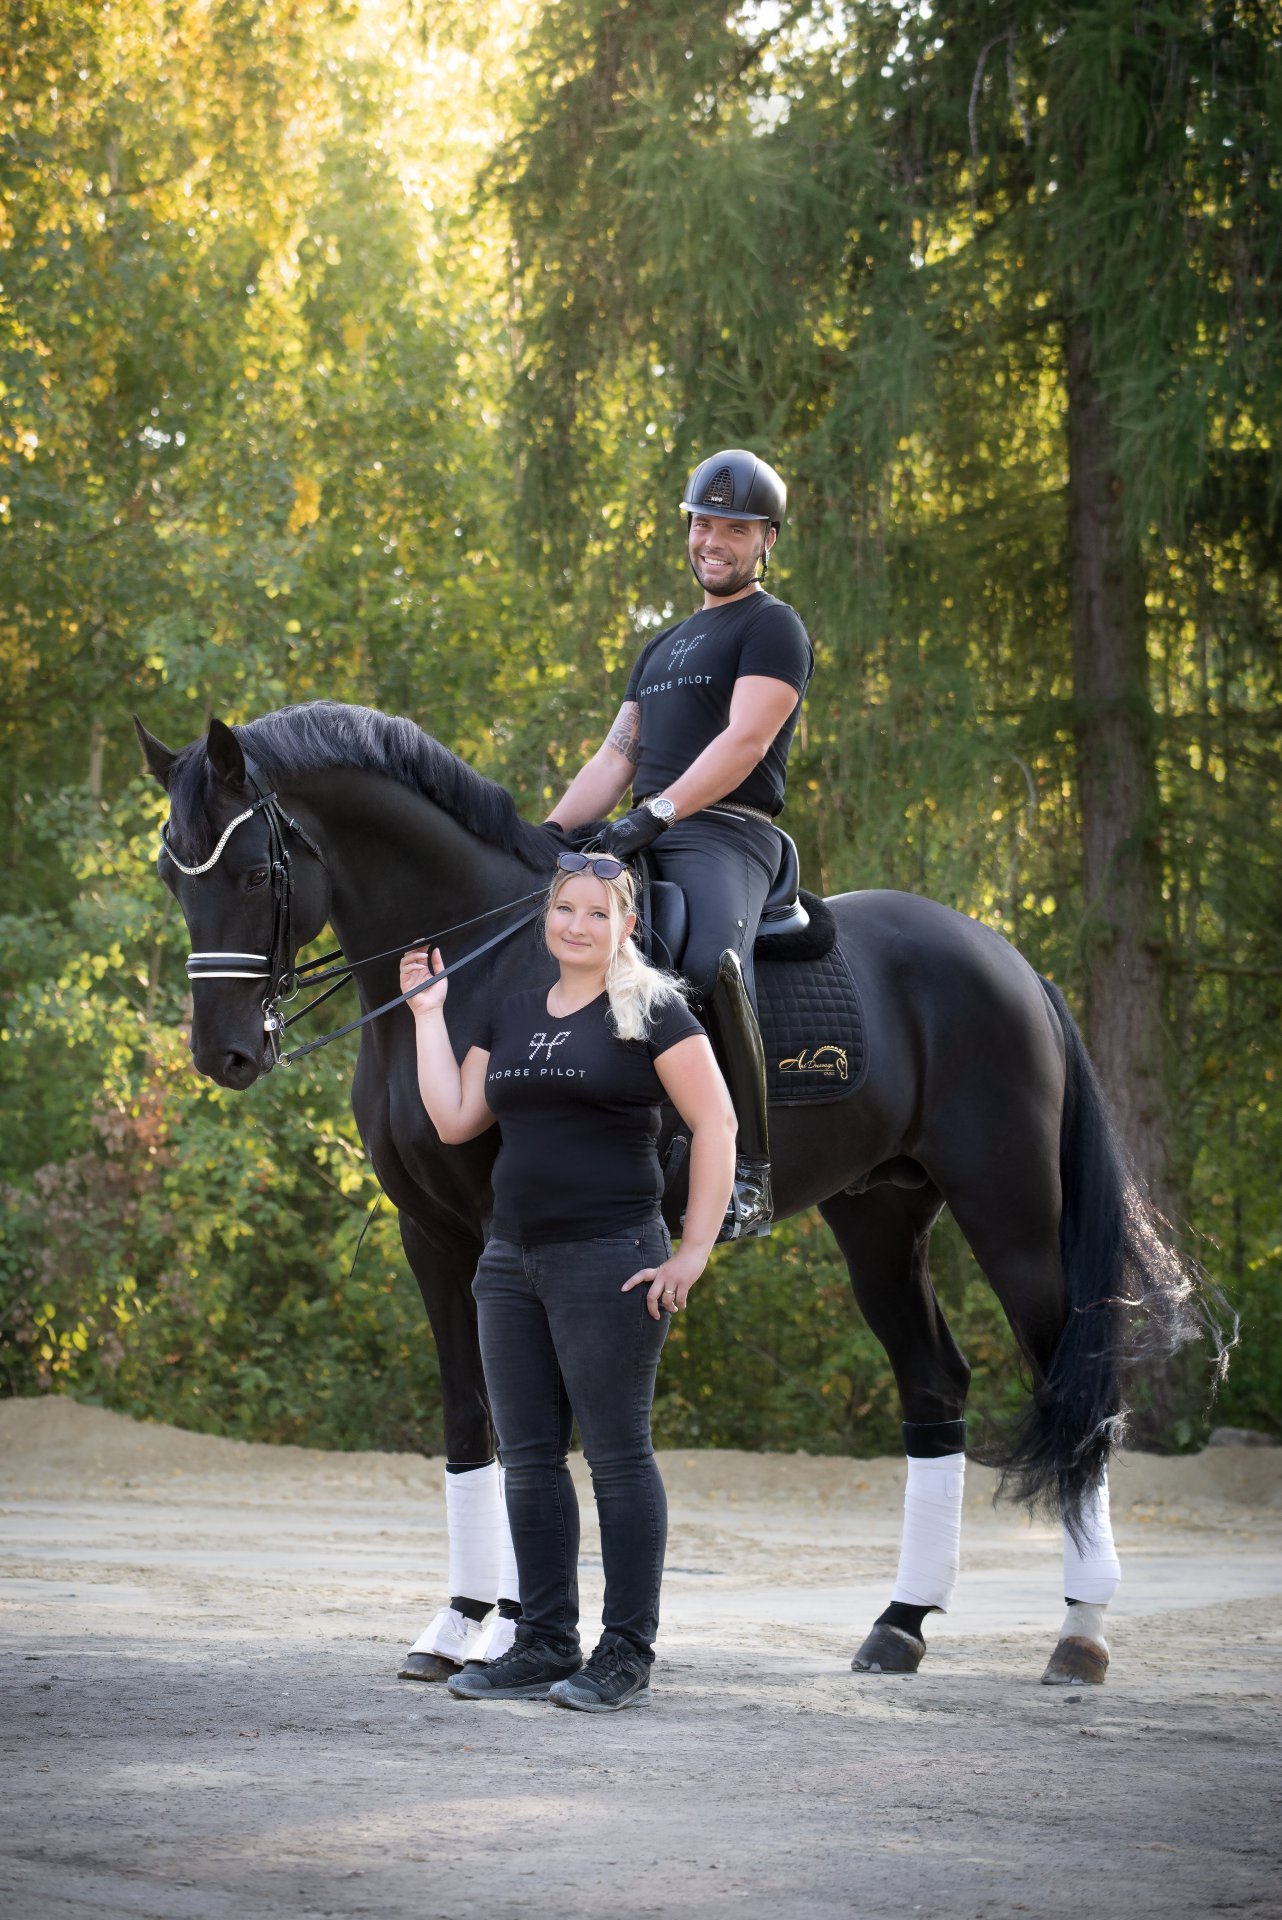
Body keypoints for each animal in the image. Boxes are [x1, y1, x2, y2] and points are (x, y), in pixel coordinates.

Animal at [135, 702, 1197, 1681]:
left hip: (1011, 1211)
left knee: (1077, 1382)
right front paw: (457, 1623)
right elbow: (471, 1422)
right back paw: (899, 1625)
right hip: (881, 1215)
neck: (482, 967)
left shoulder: (508, 1231)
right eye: (172, 876)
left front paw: (517, 1627)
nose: (226, 1055)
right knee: (934, 1384)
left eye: (253, 873)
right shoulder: (430, 1235)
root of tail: (1006, 959)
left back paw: (1080, 1630)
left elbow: (536, 1424)